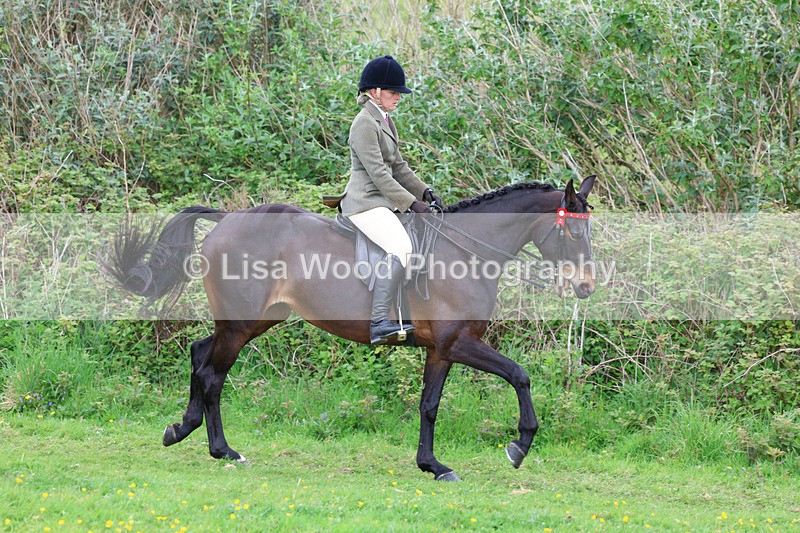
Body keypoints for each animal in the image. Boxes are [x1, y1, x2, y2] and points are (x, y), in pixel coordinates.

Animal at [110, 176, 597, 481]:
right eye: (574, 235)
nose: (586, 287)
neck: (466, 254)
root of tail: (228, 218)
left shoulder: (440, 349)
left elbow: (429, 406)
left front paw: (433, 466)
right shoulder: (460, 342)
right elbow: (519, 375)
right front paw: (520, 446)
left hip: (255, 320)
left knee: (199, 353)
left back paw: (181, 429)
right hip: (241, 323)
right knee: (213, 374)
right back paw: (223, 450)